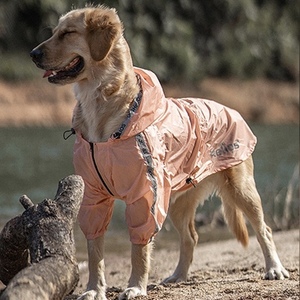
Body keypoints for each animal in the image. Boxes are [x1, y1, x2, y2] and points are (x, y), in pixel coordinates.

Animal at [29, 4, 288, 300]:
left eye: (68, 33)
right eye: (54, 32)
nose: (33, 54)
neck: (101, 106)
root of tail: (230, 108)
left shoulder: (145, 195)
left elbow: (139, 250)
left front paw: (135, 287)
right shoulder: (94, 196)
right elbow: (95, 253)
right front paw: (95, 289)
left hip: (241, 189)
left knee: (264, 229)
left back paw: (274, 268)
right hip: (177, 202)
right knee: (190, 237)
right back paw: (178, 276)